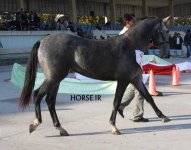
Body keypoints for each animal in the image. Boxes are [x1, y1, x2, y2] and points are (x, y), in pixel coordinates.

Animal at [19, 16, 171, 136]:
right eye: (166, 30)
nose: (165, 51)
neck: (131, 47)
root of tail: (42, 41)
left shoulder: (136, 79)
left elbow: (148, 97)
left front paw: (163, 116)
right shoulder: (123, 80)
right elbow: (116, 102)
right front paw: (114, 126)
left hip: (56, 79)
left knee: (50, 101)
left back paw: (61, 129)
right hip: (53, 78)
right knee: (37, 94)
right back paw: (35, 123)